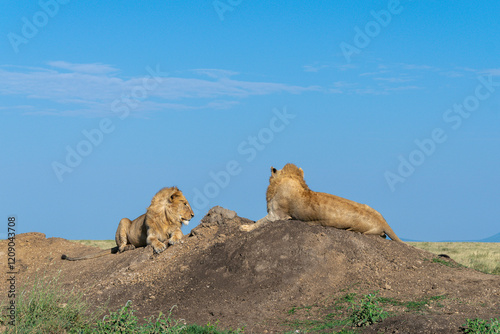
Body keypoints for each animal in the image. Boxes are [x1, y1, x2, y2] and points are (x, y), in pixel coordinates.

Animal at [61, 187, 194, 260]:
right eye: (185, 204)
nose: (193, 215)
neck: (166, 218)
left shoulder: (175, 229)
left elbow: (178, 233)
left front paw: (175, 240)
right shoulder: (150, 235)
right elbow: (154, 241)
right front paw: (160, 246)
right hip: (123, 220)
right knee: (120, 248)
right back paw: (129, 246)